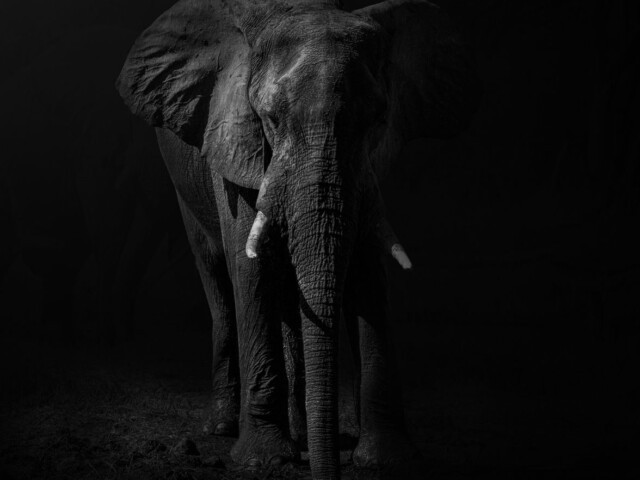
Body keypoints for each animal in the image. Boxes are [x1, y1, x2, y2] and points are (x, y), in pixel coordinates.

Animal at [116, 0, 479, 477]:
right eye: (269, 118)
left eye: (376, 119)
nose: (327, 470)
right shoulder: (234, 139)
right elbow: (249, 268)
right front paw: (263, 460)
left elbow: (367, 271)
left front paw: (385, 459)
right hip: (180, 184)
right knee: (217, 279)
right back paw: (224, 428)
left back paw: (303, 435)